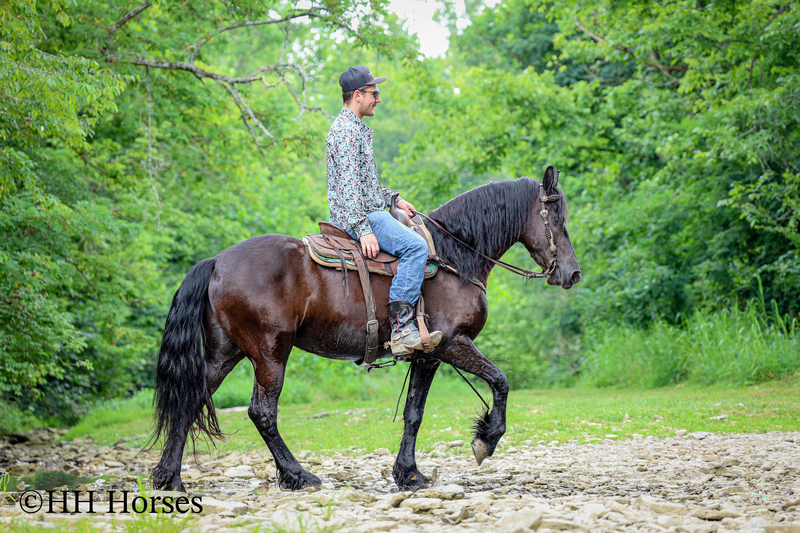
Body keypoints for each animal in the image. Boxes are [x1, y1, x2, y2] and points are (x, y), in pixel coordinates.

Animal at [148, 166, 581, 492]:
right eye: (559, 220)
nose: (572, 273)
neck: (455, 258)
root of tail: (216, 262)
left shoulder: (426, 354)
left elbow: (414, 413)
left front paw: (409, 474)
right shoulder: (451, 345)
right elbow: (501, 380)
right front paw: (484, 440)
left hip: (226, 352)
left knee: (190, 400)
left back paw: (169, 478)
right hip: (270, 352)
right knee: (262, 412)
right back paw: (297, 475)